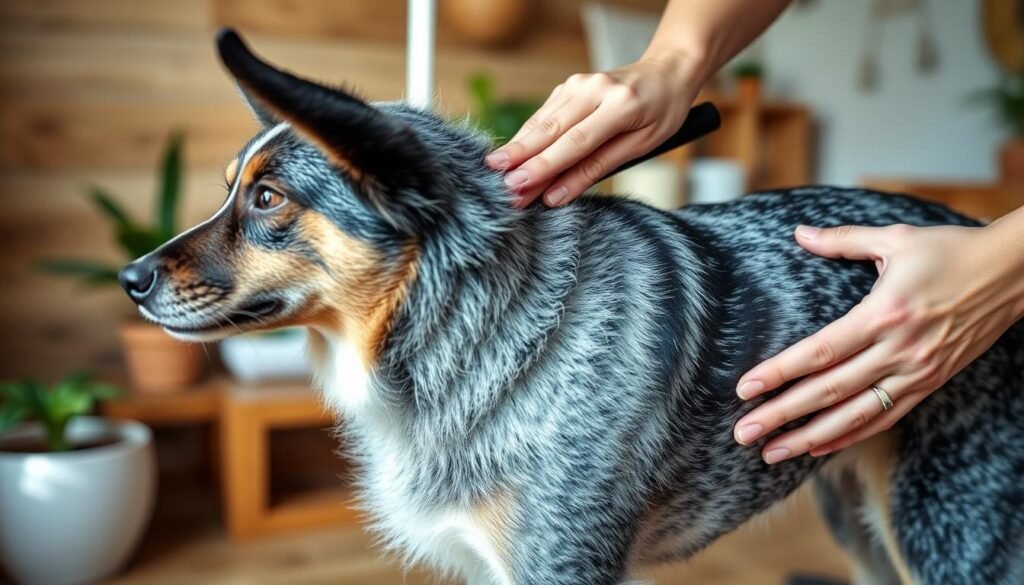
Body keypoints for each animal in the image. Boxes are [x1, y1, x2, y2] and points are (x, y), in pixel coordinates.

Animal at [121, 32, 1024, 585]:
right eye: (232, 190)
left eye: (268, 198)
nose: (129, 276)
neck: (480, 334)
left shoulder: (561, 559)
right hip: (861, 524)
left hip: (944, 533)